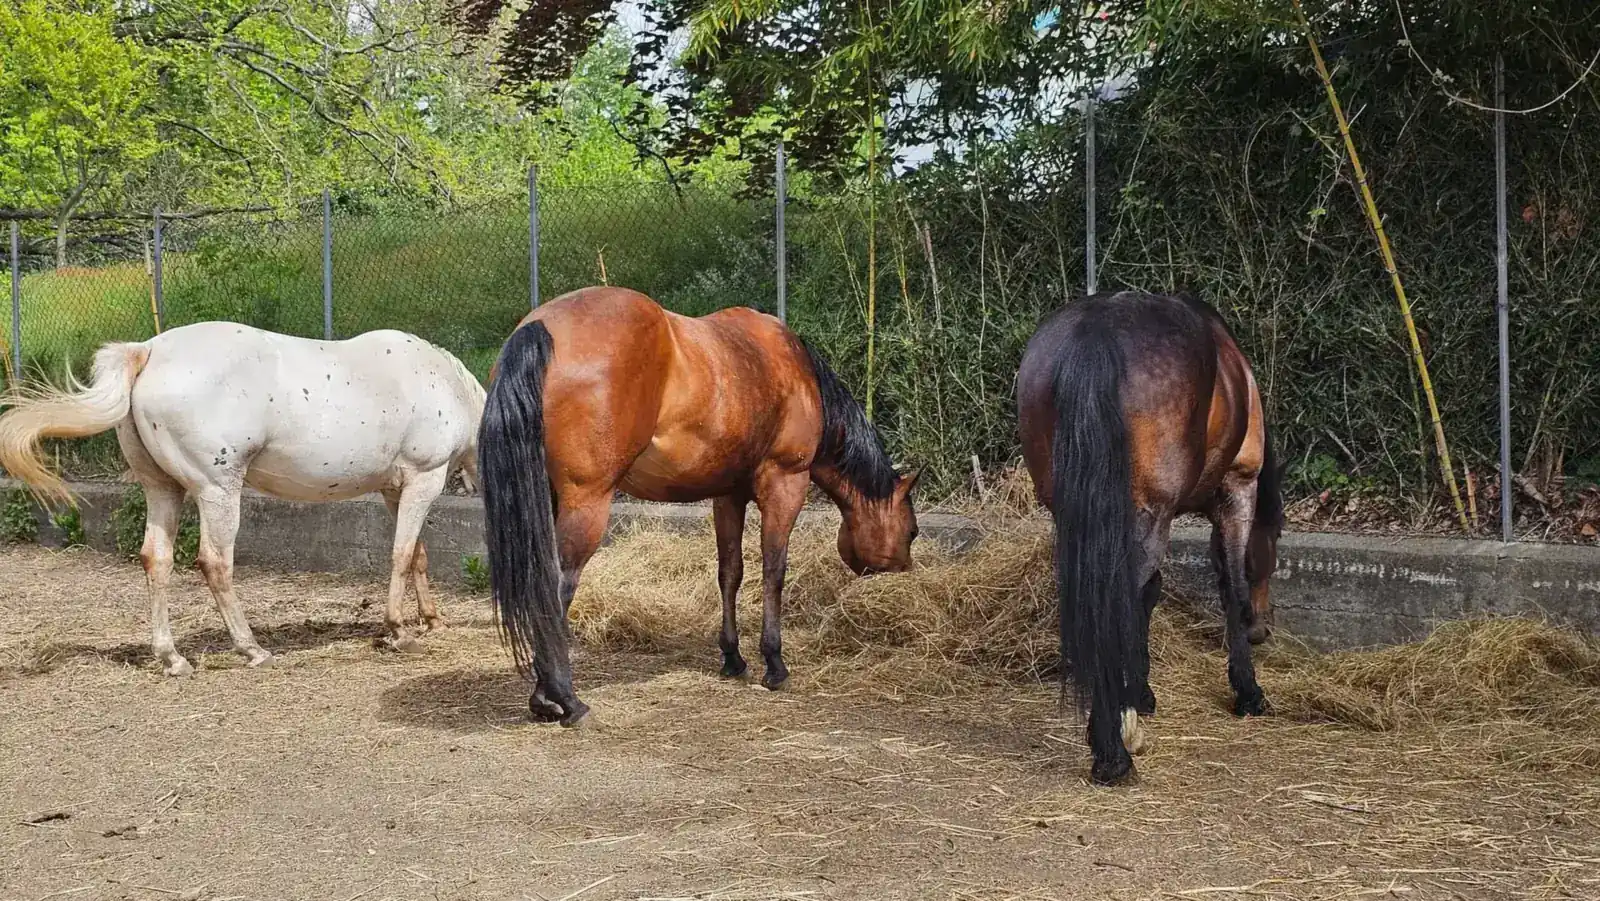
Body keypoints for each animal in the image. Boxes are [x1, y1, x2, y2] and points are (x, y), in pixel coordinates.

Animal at [0, 322, 486, 674]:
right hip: (219, 493)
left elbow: (417, 554)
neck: (447, 383)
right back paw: (251, 649)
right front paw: (400, 632)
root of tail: (148, 351)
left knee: (156, 558)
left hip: (163, 490)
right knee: (215, 562)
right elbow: (402, 554)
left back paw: (172, 659)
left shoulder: (393, 490)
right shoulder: (423, 480)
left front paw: (432, 619)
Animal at [478, 286, 919, 727]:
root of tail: (540, 327)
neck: (795, 370)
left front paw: (733, 657)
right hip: (586, 504)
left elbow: (730, 573)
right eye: (912, 531)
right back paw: (564, 699)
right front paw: (774, 663)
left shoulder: (728, 495)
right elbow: (773, 572)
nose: (905, 571)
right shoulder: (785, 484)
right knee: (556, 587)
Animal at [1016, 290, 1284, 786]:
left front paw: (1138, 692)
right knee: (1118, 597)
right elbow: (1230, 586)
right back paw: (1112, 751)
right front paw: (1247, 689)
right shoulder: (1237, 489)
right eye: (1273, 549)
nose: (1263, 628)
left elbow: (1149, 595)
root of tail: (1096, 332)